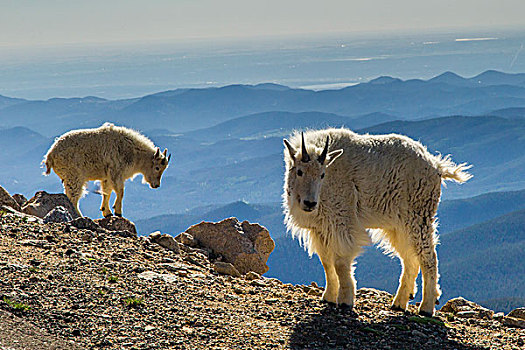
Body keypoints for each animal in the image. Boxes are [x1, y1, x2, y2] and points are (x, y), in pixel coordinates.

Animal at [282, 129, 470, 318]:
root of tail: (436, 166)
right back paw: (399, 303)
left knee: (429, 258)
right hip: (398, 226)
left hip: (418, 216)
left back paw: (426, 307)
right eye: (299, 171)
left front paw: (345, 301)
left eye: (322, 175)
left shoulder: (342, 220)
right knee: (410, 259)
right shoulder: (319, 229)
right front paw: (328, 297)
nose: (310, 203)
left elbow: (340, 262)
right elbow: (326, 262)